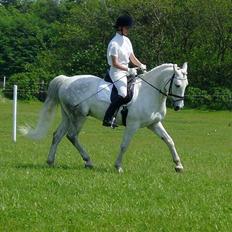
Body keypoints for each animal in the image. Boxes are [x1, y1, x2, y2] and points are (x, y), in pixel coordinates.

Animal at [20, 62, 188, 172]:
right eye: (177, 85)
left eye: (186, 85)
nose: (179, 107)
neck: (148, 92)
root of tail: (66, 80)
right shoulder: (132, 125)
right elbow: (124, 145)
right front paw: (118, 166)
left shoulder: (154, 124)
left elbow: (169, 140)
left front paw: (178, 165)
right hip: (79, 116)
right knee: (72, 136)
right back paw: (88, 161)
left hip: (68, 116)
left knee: (58, 135)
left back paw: (50, 161)